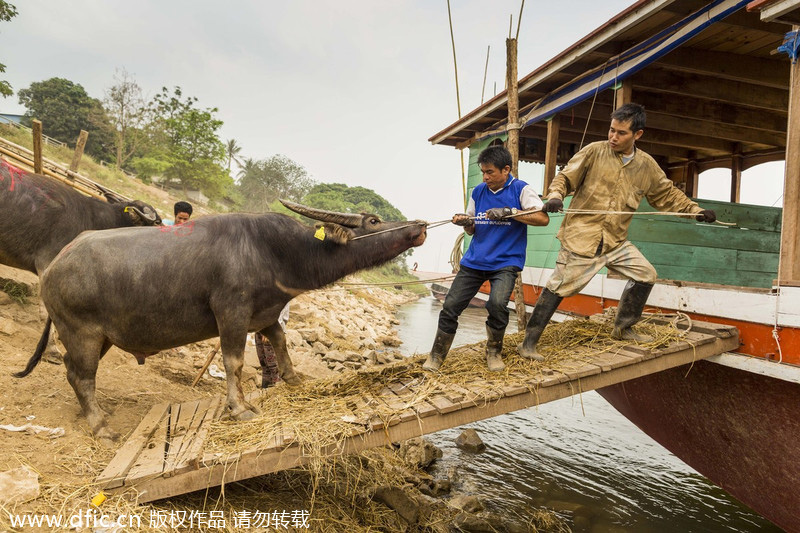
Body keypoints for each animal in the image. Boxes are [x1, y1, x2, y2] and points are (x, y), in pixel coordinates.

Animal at [14, 200, 424, 440]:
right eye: (373, 220)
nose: (419, 226)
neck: (275, 251)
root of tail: (55, 263)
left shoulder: (265, 314)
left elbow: (280, 342)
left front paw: (294, 379)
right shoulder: (232, 312)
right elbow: (234, 361)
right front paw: (239, 408)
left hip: (100, 337)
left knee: (73, 371)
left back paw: (90, 413)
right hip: (80, 331)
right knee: (81, 375)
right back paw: (101, 427)